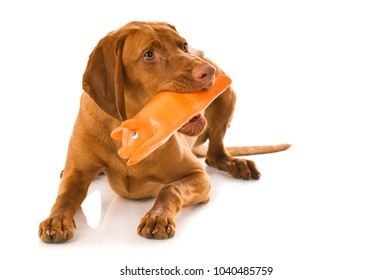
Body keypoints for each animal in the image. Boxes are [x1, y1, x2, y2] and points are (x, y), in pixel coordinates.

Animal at [38, 20, 290, 242]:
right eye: (148, 55)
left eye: (184, 45)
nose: (208, 72)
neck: (128, 131)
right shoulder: (77, 174)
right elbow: (64, 196)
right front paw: (56, 220)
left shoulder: (197, 175)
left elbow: (170, 188)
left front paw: (157, 217)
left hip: (229, 96)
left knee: (215, 154)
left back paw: (236, 163)